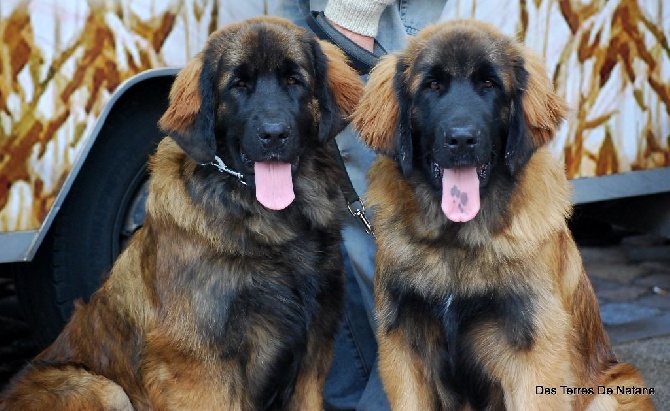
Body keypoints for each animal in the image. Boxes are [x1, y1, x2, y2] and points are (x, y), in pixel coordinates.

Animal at [1, 16, 368, 411]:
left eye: (294, 80)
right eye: (238, 85)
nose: (273, 134)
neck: (268, 226)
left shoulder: (312, 355)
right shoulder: (201, 367)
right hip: (102, 389)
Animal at [356, 20, 656, 411]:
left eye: (489, 85)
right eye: (432, 86)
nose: (461, 139)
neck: (456, 244)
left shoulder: (532, 358)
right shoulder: (404, 352)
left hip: (610, 393)